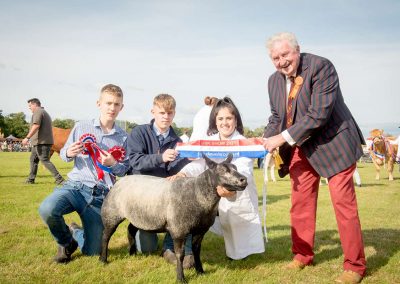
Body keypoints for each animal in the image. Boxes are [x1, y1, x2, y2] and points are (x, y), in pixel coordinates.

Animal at [98, 154, 247, 282]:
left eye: (235, 168)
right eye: (222, 170)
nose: (243, 180)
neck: (197, 193)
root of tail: (120, 181)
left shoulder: (200, 230)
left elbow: (196, 251)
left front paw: (200, 271)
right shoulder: (178, 230)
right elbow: (180, 255)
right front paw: (181, 278)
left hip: (137, 215)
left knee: (130, 229)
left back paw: (132, 253)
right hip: (111, 214)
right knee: (105, 236)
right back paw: (103, 259)